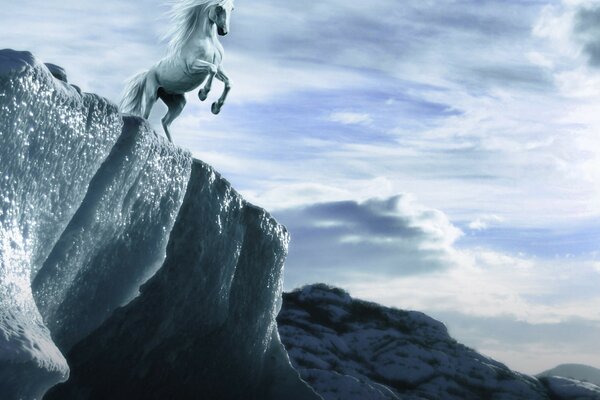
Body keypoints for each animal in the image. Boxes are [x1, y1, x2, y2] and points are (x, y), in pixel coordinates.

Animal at [119, 0, 234, 143]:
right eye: (219, 7)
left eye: (232, 9)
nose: (224, 31)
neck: (209, 41)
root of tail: (147, 73)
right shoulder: (193, 66)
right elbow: (211, 70)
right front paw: (203, 94)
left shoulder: (219, 68)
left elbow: (228, 82)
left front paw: (216, 107)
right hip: (152, 95)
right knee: (145, 116)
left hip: (178, 102)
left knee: (165, 121)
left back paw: (172, 143)